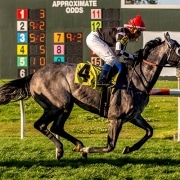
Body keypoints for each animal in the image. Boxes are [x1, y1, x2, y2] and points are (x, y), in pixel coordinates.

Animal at [0, 32, 180, 160]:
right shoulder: (116, 117)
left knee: (55, 127)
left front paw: (129, 148)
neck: (137, 78)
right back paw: (66, 149)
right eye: (179, 48)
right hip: (59, 105)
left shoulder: (134, 116)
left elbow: (149, 131)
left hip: (65, 106)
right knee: (41, 125)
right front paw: (89, 149)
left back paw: (74, 146)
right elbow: (110, 146)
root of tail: (34, 74)